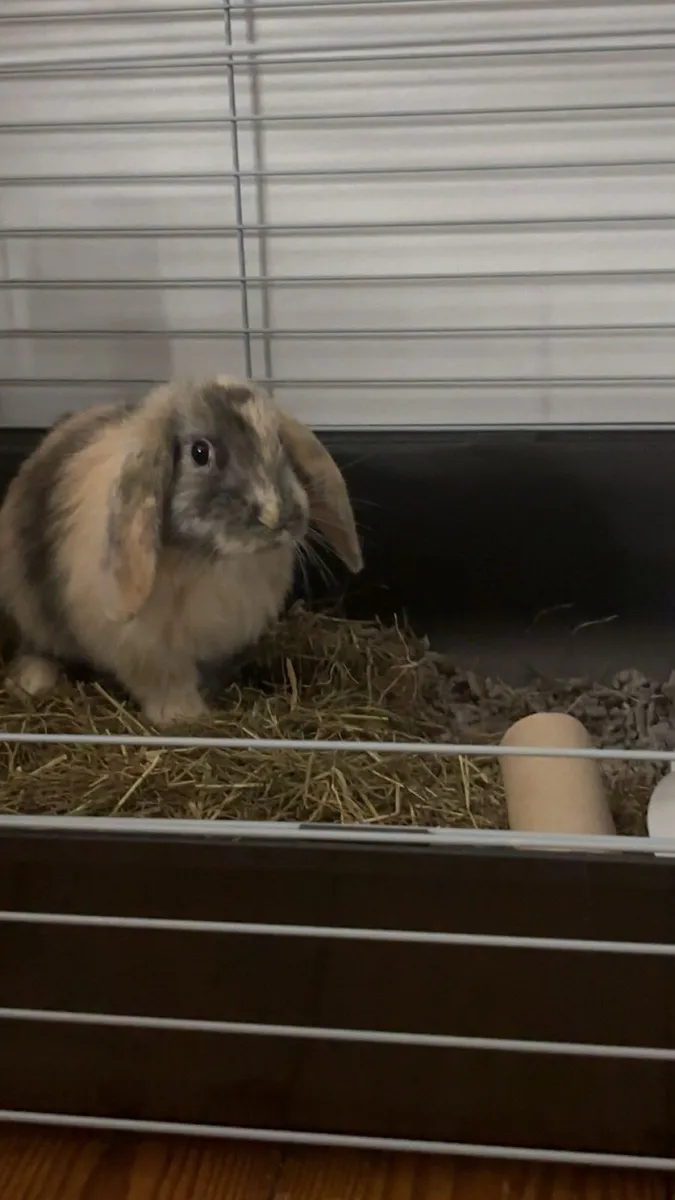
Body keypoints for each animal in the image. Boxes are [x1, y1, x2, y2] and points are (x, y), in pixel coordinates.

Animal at [0, 376, 363, 727]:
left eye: (278, 443)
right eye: (200, 452)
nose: (278, 516)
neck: (212, 559)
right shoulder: (149, 651)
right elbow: (166, 683)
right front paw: (183, 716)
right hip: (31, 605)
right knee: (39, 645)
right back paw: (32, 680)